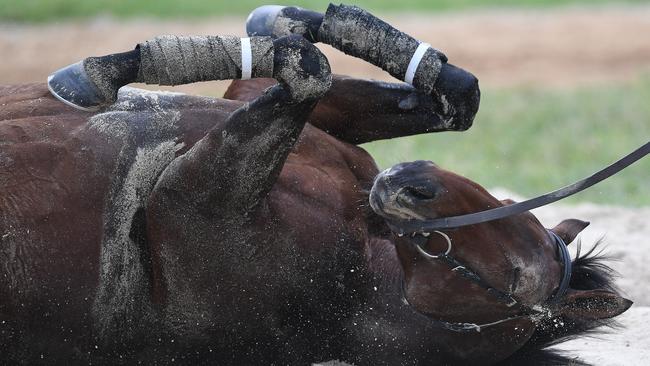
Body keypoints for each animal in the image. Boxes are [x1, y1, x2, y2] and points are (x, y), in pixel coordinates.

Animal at [0, 4, 628, 364]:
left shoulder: (184, 203)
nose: (410, 184)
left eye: (519, 279)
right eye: (515, 210)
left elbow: (308, 69)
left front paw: (96, 73)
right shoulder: (263, 109)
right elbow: (454, 100)